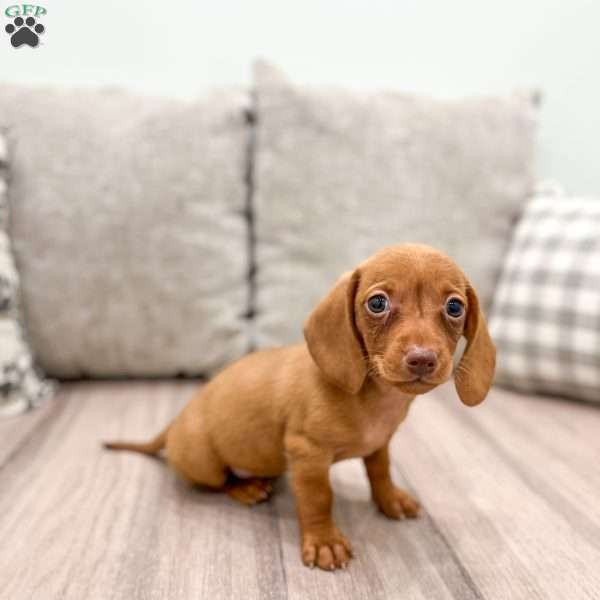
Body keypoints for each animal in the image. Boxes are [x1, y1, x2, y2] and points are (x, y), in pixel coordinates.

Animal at [104, 241, 496, 568]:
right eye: (377, 303)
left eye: (455, 307)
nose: (422, 359)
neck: (374, 398)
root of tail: (175, 423)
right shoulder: (307, 454)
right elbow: (318, 498)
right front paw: (324, 541)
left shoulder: (380, 445)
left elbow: (380, 472)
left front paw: (389, 499)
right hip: (204, 461)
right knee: (215, 482)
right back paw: (245, 487)